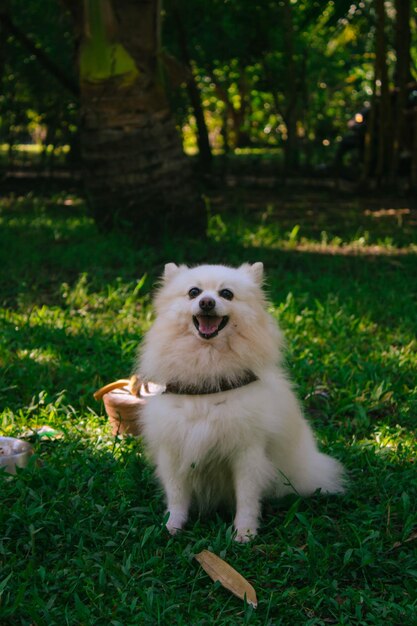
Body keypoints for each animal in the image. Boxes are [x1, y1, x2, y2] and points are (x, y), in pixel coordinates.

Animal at [137, 260, 344, 540]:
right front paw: (172, 527)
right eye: (194, 292)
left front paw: (244, 533)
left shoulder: (248, 452)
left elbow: (247, 498)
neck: (208, 376)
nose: (206, 302)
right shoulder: (174, 449)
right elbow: (177, 496)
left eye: (226, 294)